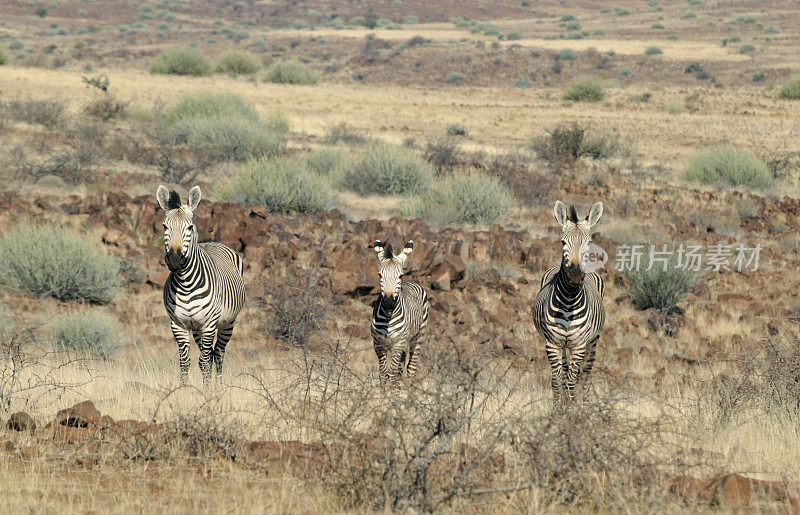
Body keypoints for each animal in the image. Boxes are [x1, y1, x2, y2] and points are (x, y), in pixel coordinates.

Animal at [155, 186, 244, 388]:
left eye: (189, 227)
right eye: (164, 226)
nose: (174, 259)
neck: (186, 283)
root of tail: (212, 241)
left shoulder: (209, 323)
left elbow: (204, 361)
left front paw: (207, 392)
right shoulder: (178, 324)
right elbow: (185, 361)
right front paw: (184, 389)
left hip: (228, 322)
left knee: (218, 354)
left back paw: (218, 387)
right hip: (196, 328)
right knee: (209, 354)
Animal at [370, 240, 428, 384]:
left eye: (400, 275)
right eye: (380, 275)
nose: (388, 302)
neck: (388, 317)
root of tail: (411, 282)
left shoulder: (398, 343)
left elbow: (391, 373)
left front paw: (391, 390)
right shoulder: (378, 343)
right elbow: (383, 373)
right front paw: (383, 390)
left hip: (418, 337)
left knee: (411, 368)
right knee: (401, 367)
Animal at [532, 201, 608, 404]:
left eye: (588, 243)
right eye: (563, 242)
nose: (575, 274)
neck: (568, 300)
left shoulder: (579, 345)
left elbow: (572, 382)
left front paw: (573, 409)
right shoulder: (552, 344)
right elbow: (558, 380)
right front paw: (558, 409)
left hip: (593, 340)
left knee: (586, 374)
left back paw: (584, 404)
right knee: (564, 373)